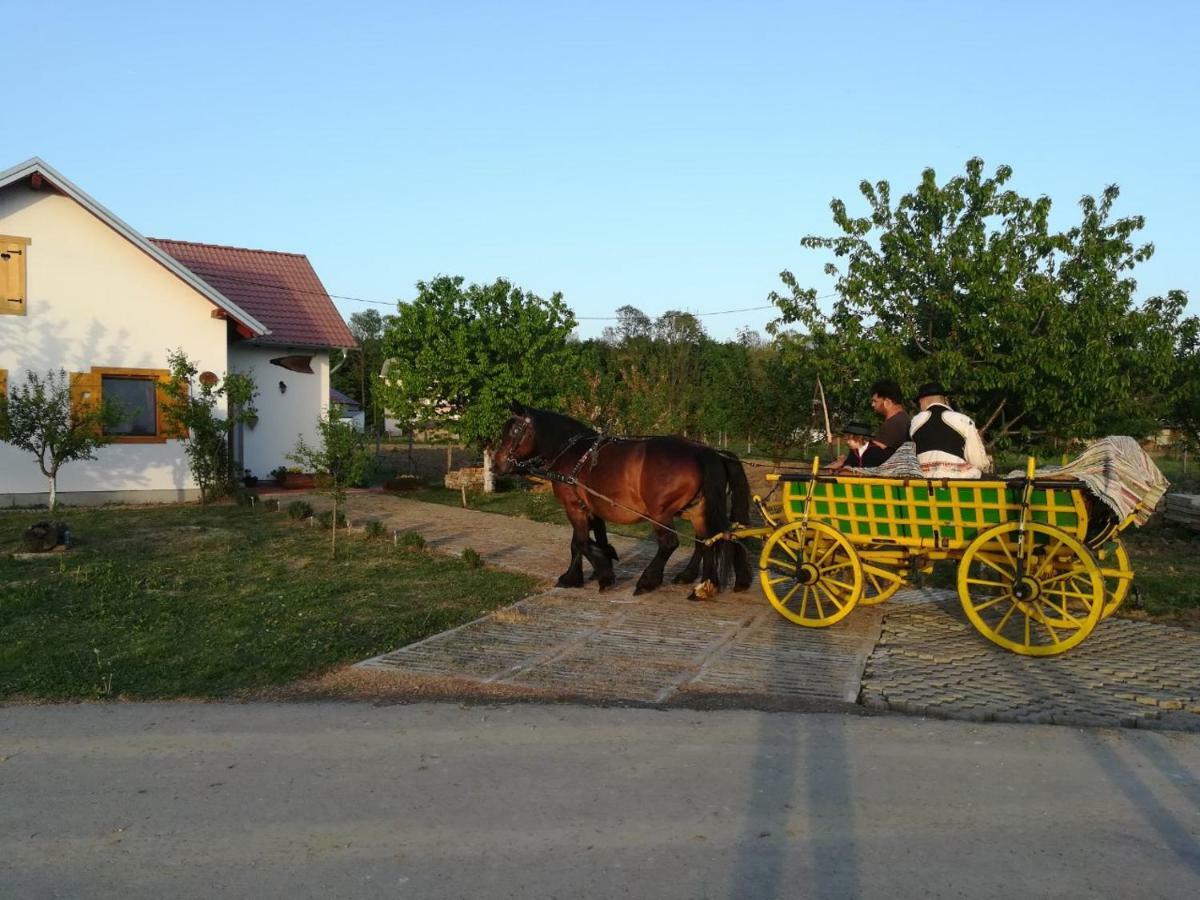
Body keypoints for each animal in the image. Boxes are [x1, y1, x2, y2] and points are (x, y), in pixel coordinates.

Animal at [489, 403, 748, 600]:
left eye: (514, 430)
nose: (496, 465)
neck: (573, 453)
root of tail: (704, 451)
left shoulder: (573, 507)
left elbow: (581, 543)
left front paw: (602, 573)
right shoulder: (589, 508)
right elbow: (583, 542)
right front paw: (581, 574)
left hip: (660, 512)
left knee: (670, 543)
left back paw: (648, 581)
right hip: (697, 509)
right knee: (708, 541)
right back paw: (703, 585)